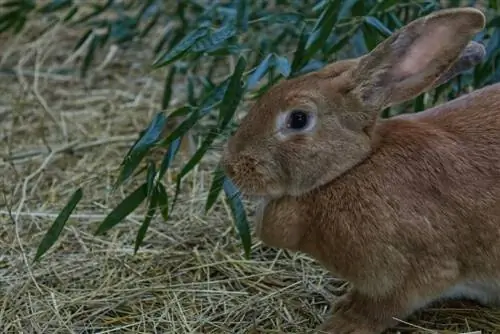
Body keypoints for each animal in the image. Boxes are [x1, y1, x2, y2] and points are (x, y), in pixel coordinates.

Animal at [222, 5, 500, 334]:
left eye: (298, 119)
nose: (231, 167)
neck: (351, 169)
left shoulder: (418, 273)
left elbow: (381, 309)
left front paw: (340, 324)